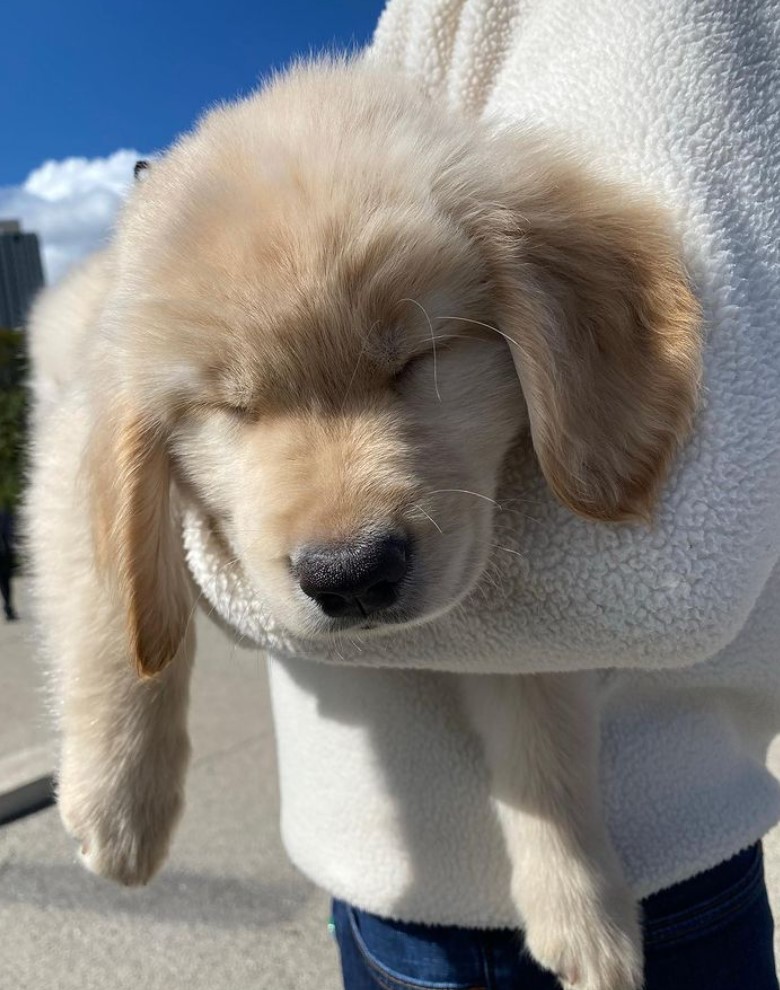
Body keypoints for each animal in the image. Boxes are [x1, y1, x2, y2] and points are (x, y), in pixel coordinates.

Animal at [29, 58, 700, 990]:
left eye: (414, 360)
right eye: (234, 409)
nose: (351, 575)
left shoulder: (511, 611)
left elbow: (545, 730)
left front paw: (584, 907)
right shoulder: (71, 426)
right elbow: (111, 607)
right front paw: (118, 799)